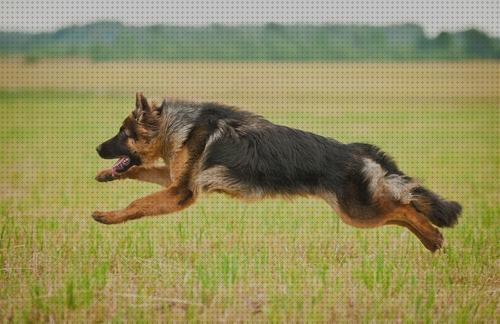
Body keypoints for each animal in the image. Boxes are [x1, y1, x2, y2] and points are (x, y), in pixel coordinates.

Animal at [94, 92, 460, 252]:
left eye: (121, 134)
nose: (96, 149)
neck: (176, 126)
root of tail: (357, 148)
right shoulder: (175, 181)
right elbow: (141, 172)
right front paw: (107, 176)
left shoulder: (180, 193)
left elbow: (137, 205)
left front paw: (107, 217)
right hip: (361, 212)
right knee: (406, 209)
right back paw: (432, 240)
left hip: (358, 213)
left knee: (405, 208)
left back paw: (434, 239)